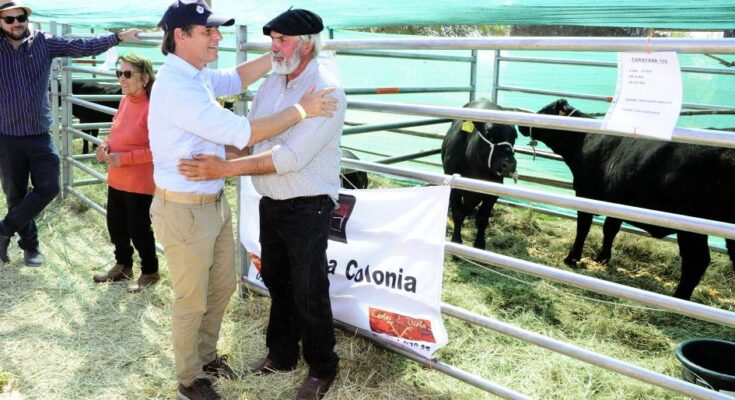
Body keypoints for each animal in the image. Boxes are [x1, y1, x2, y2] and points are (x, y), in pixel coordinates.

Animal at [441, 99, 518, 250]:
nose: (509, 164)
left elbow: (482, 218)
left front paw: (479, 244)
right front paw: (456, 241)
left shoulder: (494, 191)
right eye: (490, 135)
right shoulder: (454, 186)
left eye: (514, 137)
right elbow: (458, 214)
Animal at [518, 98, 735, 300]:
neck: (583, 140)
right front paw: (602, 258)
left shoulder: (585, 194)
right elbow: (610, 229)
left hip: (691, 226)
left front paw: (572, 257)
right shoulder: (617, 201)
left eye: (544, 111)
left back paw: (679, 298)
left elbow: (583, 227)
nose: (522, 124)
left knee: (697, 260)